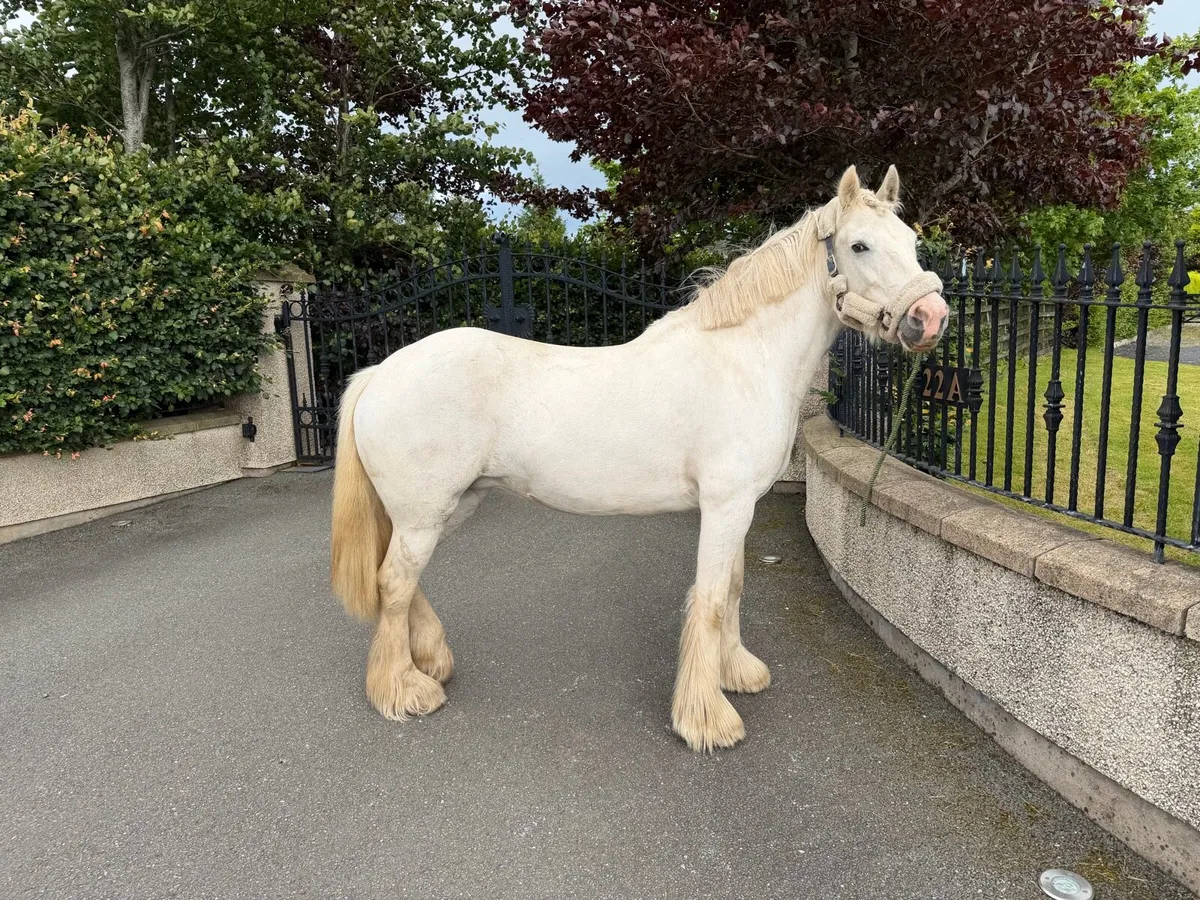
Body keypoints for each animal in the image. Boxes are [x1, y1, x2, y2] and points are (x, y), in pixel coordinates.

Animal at [329, 165, 949, 752]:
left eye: (910, 240)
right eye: (859, 245)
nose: (931, 317)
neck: (745, 358)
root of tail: (380, 372)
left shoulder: (741, 507)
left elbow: (734, 587)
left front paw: (737, 673)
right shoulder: (724, 506)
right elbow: (713, 599)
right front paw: (707, 719)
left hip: (445, 508)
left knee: (401, 581)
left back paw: (430, 661)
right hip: (424, 513)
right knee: (394, 583)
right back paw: (404, 690)